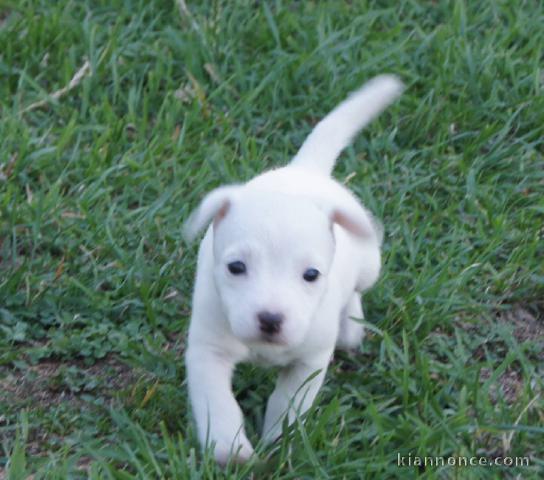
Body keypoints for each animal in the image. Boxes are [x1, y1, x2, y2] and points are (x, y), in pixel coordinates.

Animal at [185, 76, 402, 464]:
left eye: (311, 275)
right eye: (236, 267)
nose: (270, 319)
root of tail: (307, 170)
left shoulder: (309, 362)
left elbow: (288, 402)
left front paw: (278, 440)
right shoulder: (208, 350)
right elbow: (218, 401)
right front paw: (230, 448)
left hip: (369, 264)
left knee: (356, 290)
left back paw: (350, 328)